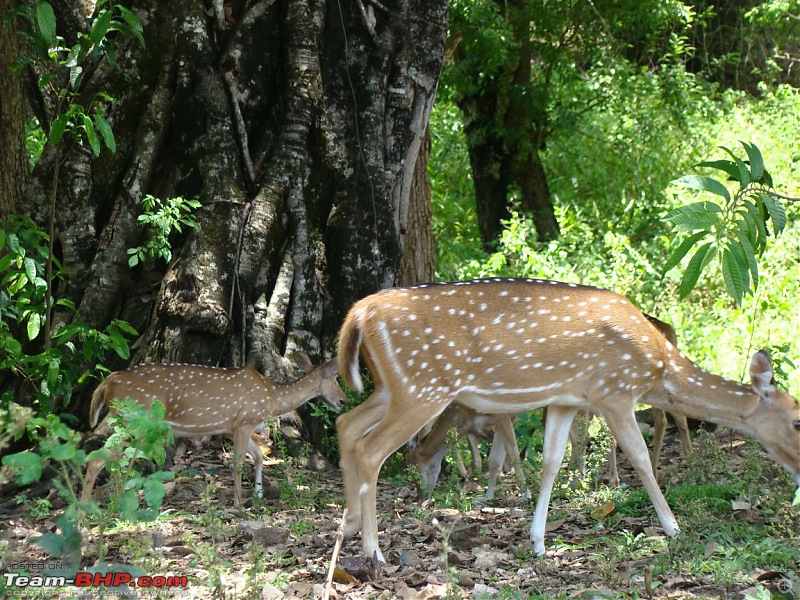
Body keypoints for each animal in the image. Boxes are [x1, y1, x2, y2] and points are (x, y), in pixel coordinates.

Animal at [83, 358, 346, 504]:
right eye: (336, 378)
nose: (343, 401)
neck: (271, 398)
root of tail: (108, 382)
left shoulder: (233, 428)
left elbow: (259, 456)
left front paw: (258, 495)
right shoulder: (243, 421)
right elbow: (238, 463)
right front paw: (239, 503)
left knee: (112, 459)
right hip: (136, 420)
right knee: (101, 459)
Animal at [336, 278, 800, 560]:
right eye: (797, 420)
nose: (798, 469)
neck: (658, 368)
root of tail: (359, 312)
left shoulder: (566, 400)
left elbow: (552, 462)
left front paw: (538, 542)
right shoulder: (614, 391)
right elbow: (640, 458)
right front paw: (673, 528)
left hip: (391, 387)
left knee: (347, 425)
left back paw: (350, 528)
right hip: (422, 387)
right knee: (370, 449)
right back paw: (373, 550)